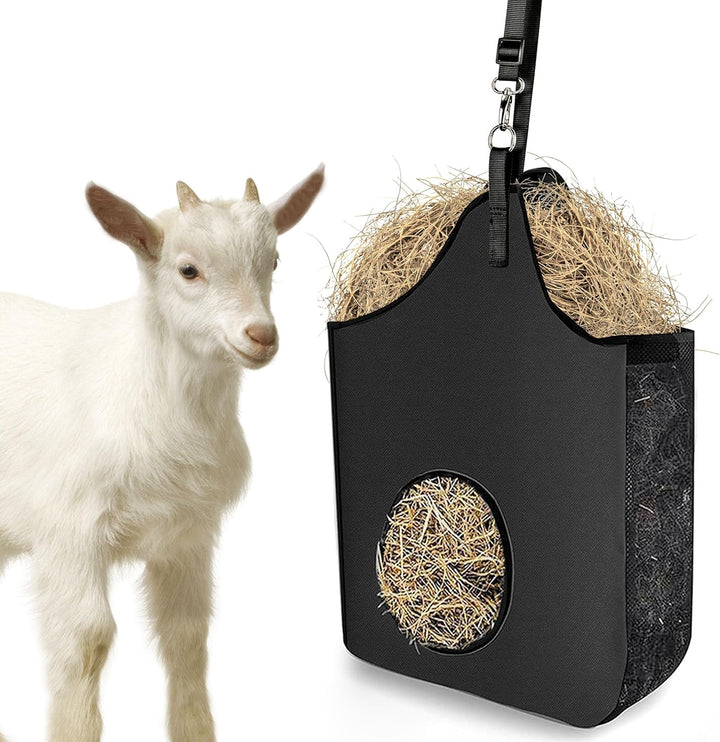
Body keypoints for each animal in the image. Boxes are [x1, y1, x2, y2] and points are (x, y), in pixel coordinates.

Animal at [0, 164, 324, 742]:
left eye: (274, 261)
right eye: (188, 270)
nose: (261, 335)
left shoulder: (186, 535)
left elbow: (186, 635)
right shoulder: (69, 531)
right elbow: (87, 638)